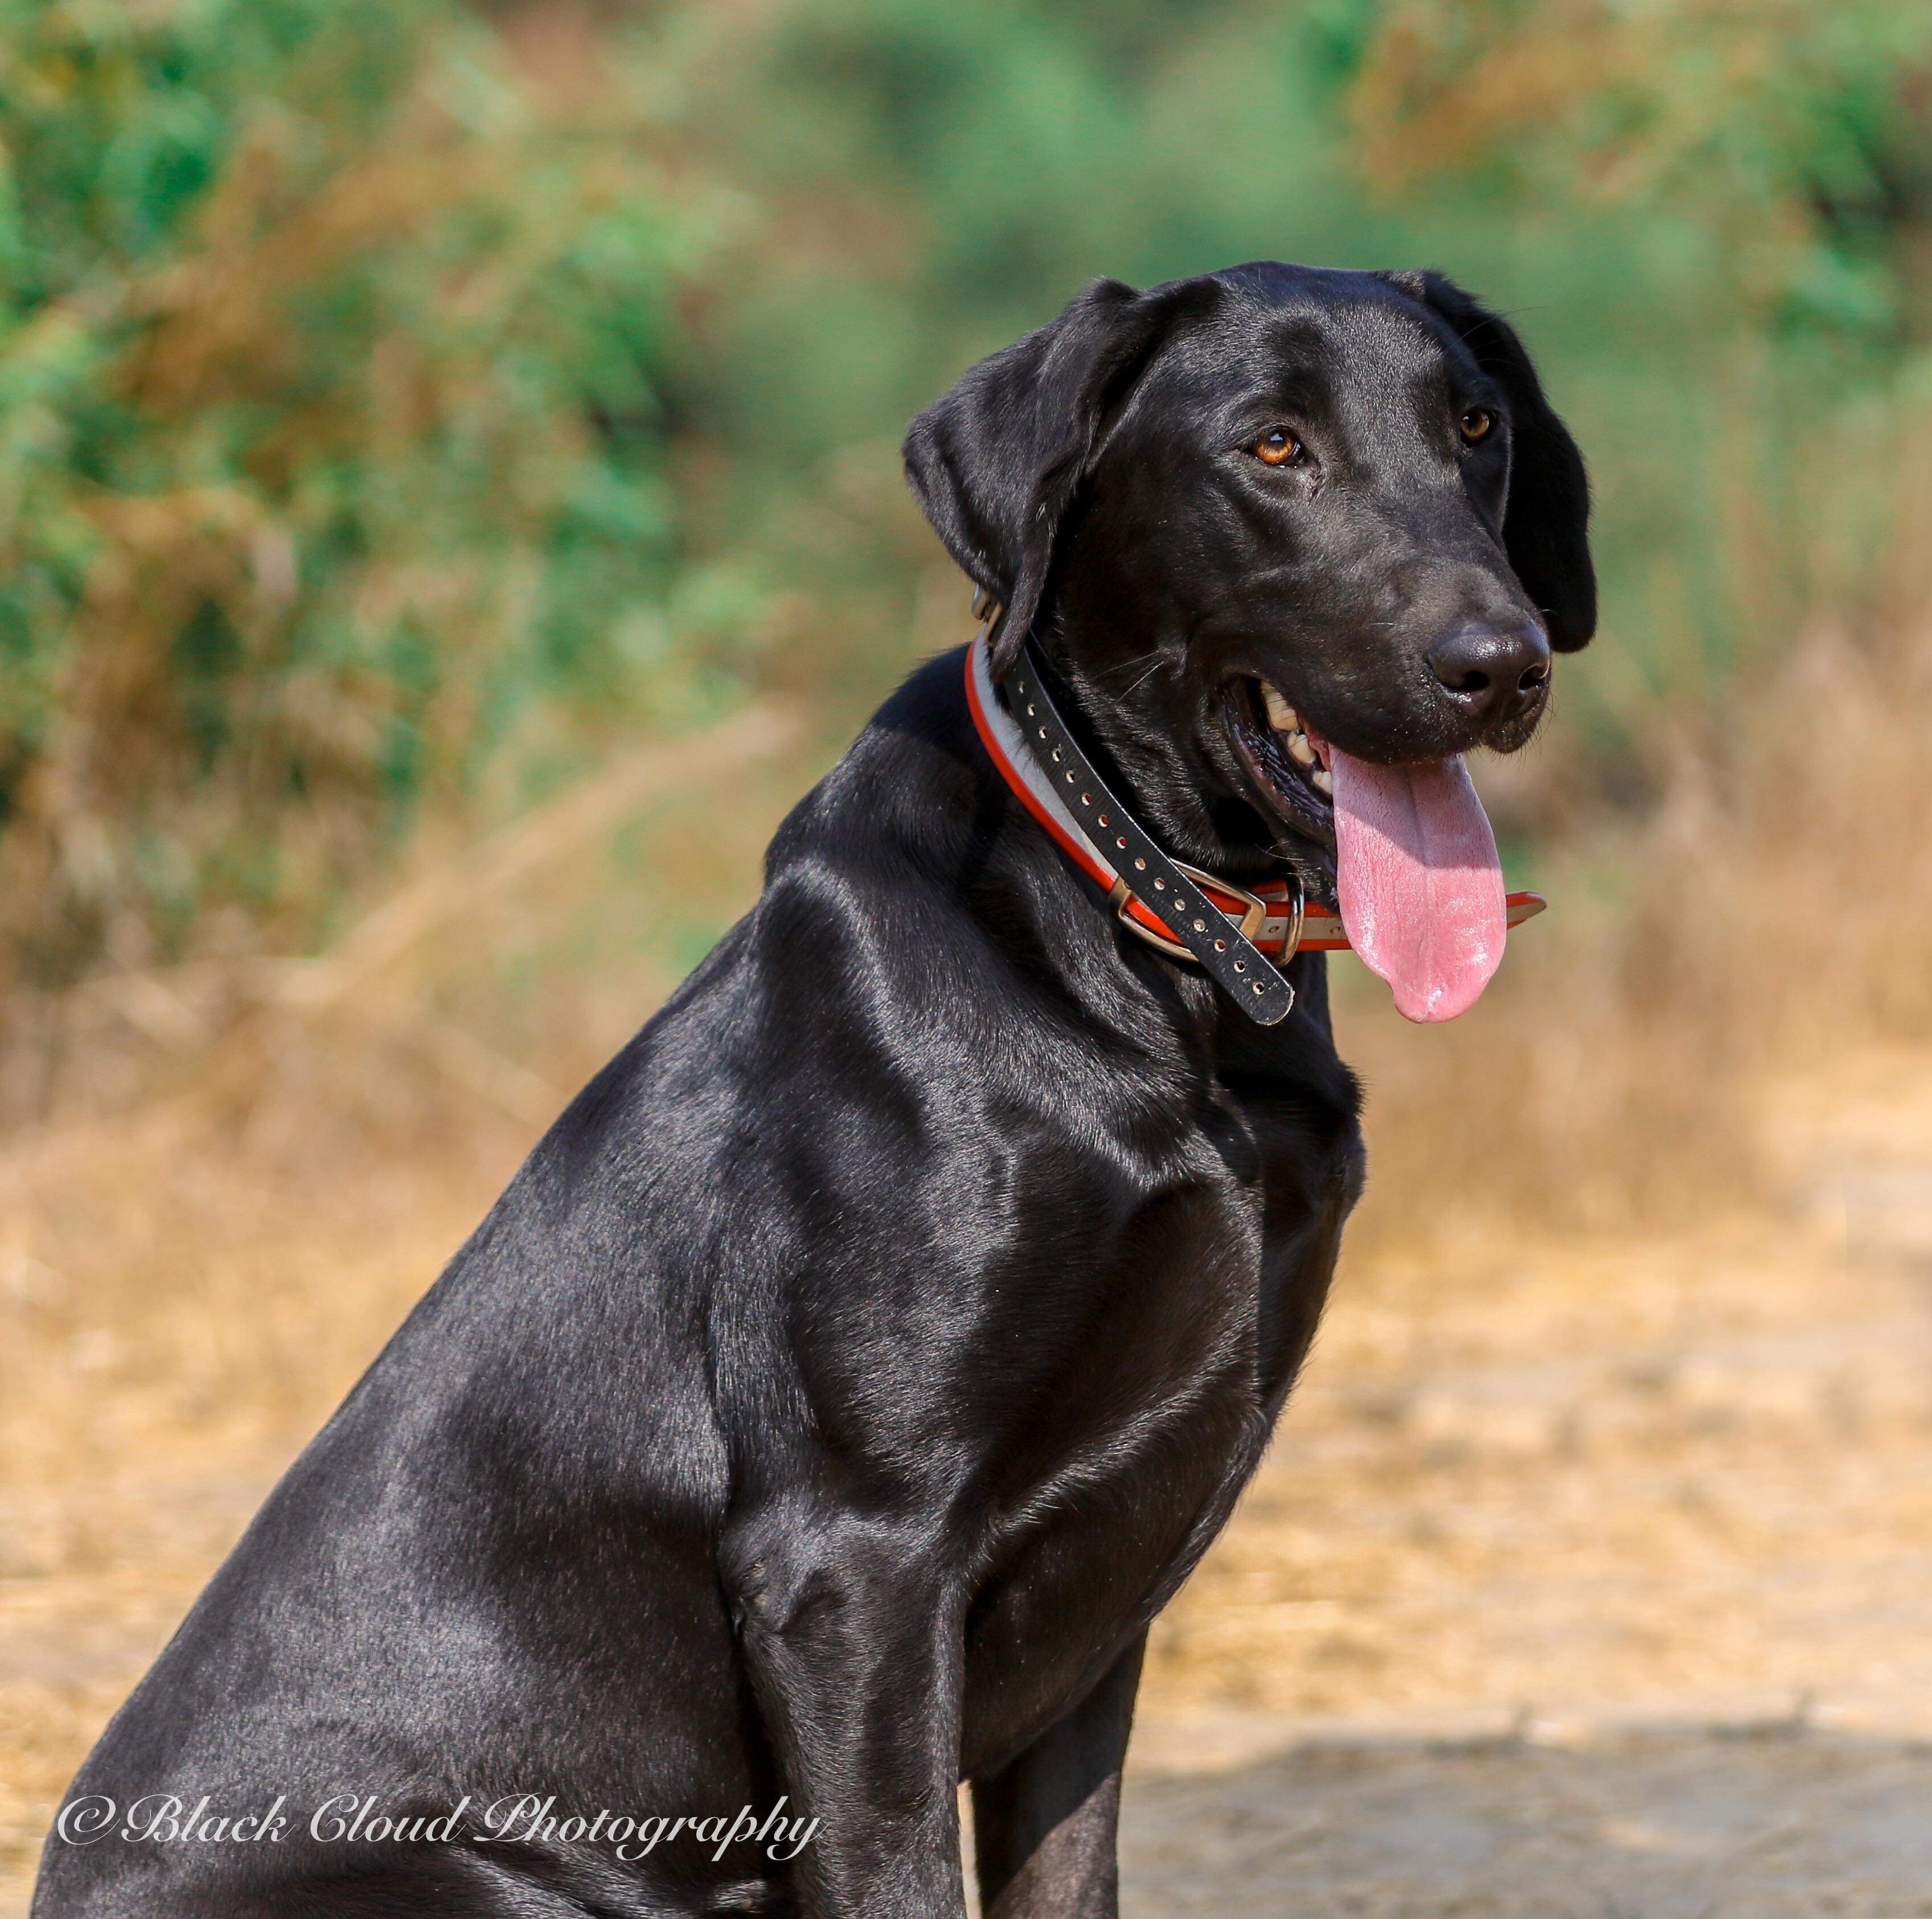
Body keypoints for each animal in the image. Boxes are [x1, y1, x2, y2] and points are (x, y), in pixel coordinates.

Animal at [38, 266, 1591, 1915]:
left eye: (1474, 426)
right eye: (1274, 446)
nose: (1503, 665)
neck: (1140, 937)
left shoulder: (1099, 1598)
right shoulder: (853, 1558)